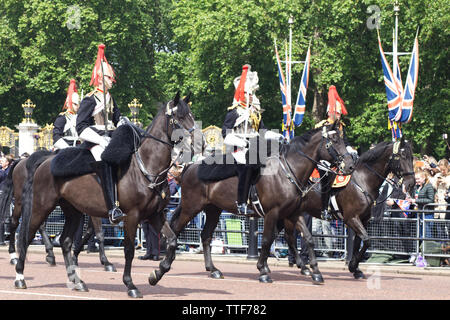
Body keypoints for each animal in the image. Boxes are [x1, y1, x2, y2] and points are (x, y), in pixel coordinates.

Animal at [15, 92, 195, 298]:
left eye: (191, 115)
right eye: (178, 117)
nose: (198, 143)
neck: (146, 168)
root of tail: (46, 160)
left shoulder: (154, 215)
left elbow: (172, 241)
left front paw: (155, 274)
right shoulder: (131, 216)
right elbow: (128, 249)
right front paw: (130, 285)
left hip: (73, 211)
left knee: (65, 241)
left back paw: (77, 281)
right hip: (41, 206)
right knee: (27, 235)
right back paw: (20, 276)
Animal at [149, 120, 356, 284]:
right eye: (334, 141)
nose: (350, 166)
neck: (288, 171)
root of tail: (190, 166)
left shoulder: (293, 214)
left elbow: (309, 239)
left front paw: (316, 272)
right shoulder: (273, 213)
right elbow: (266, 240)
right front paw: (263, 271)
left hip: (213, 210)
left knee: (205, 236)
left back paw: (213, 270)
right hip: (191, 207)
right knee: (175, 229)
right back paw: (164, 264)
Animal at [284, 139, 414, 278]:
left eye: (412, 157)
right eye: (403, 156)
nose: (411, 183)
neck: (363, 180)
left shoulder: (363, 219)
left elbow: (359, 242)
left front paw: (355, 268)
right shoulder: (351, 218)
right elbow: (366, 240)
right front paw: (352, 265)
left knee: (289, 237)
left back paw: (301, 265)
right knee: (290, 237)